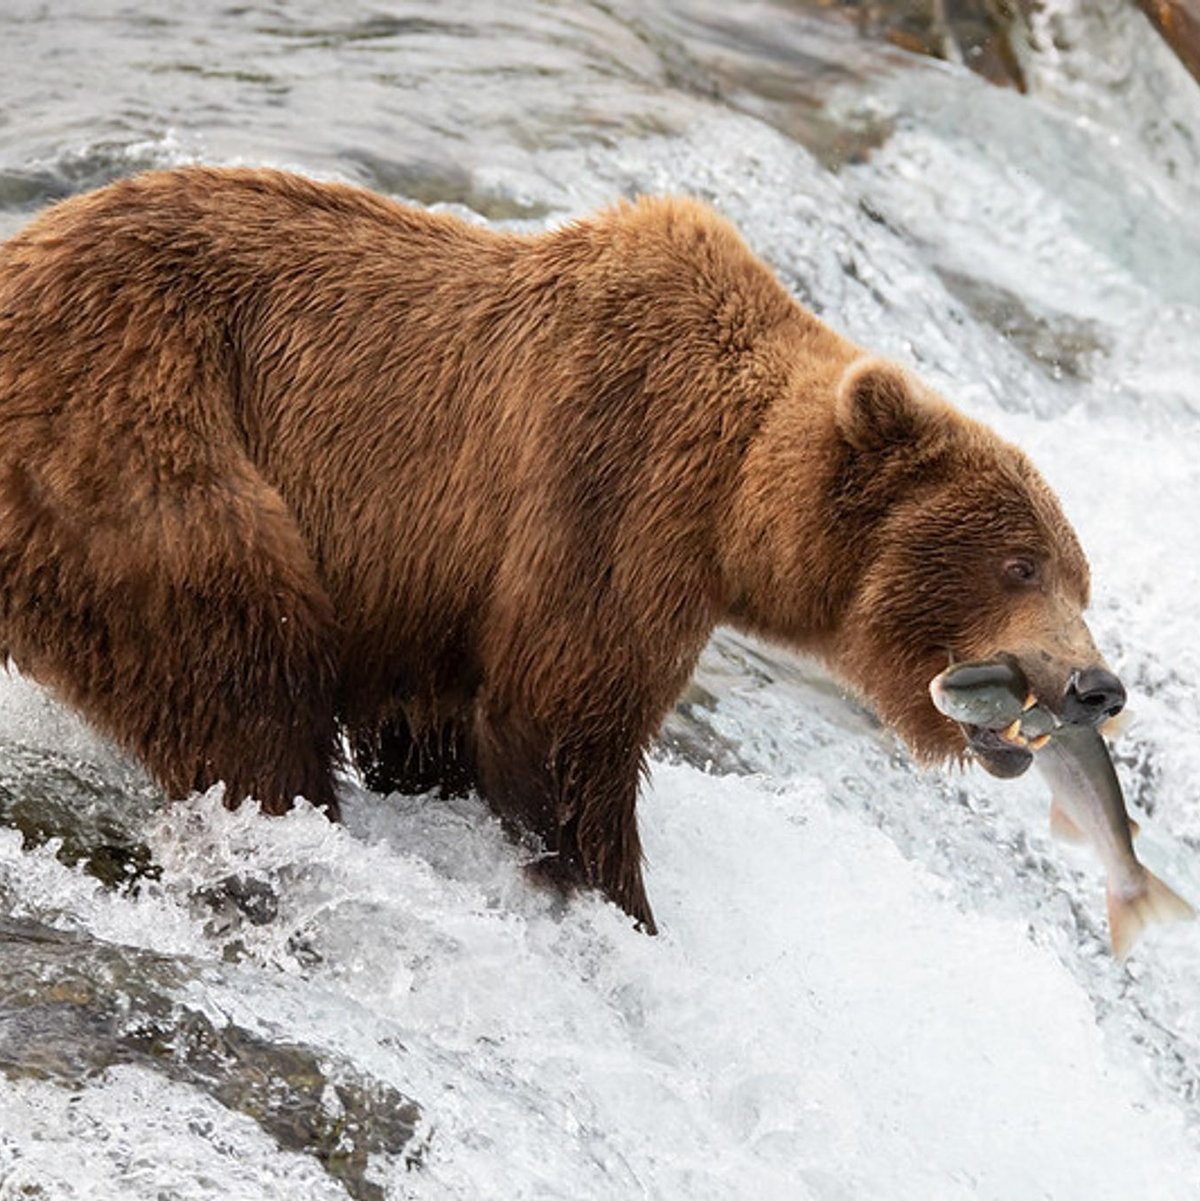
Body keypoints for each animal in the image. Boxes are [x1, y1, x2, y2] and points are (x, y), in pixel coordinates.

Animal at [0, 168, 1124, 933]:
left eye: (1081, 575)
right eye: (1021, 562)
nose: (1096, 687)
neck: (734, 497)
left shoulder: (435, 591)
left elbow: (439, 724)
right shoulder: (610, 488)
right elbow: (563, 724)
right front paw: (618, 907)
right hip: (138, 432)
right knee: (240, 665)